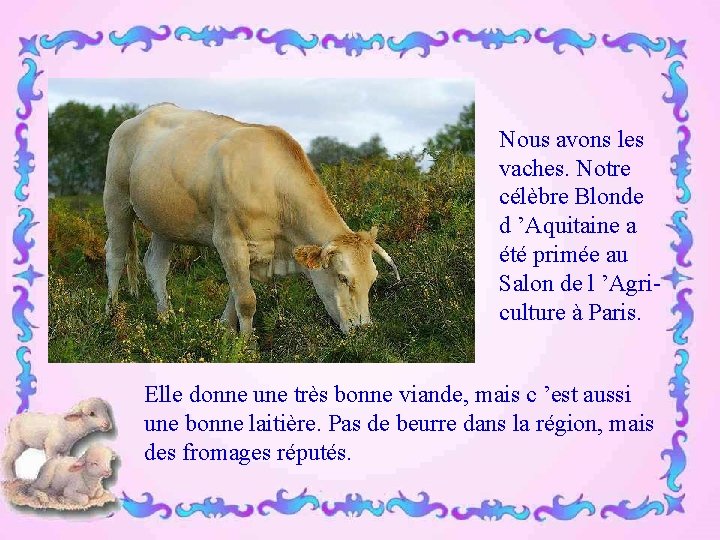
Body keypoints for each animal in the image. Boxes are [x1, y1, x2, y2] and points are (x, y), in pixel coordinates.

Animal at [103, 103, 399, 338]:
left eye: (373, 279)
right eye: (342, 277)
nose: (363, 329)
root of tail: (139, 116)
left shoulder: (257, 249)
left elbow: (236, 294)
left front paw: (224, 330)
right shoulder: (228, 240)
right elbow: (246, 300)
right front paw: (246, 347)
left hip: (165, 223)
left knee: (155, 265)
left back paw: (166, 319)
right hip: (116, 200)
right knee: (115, 257)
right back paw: (111, 315)